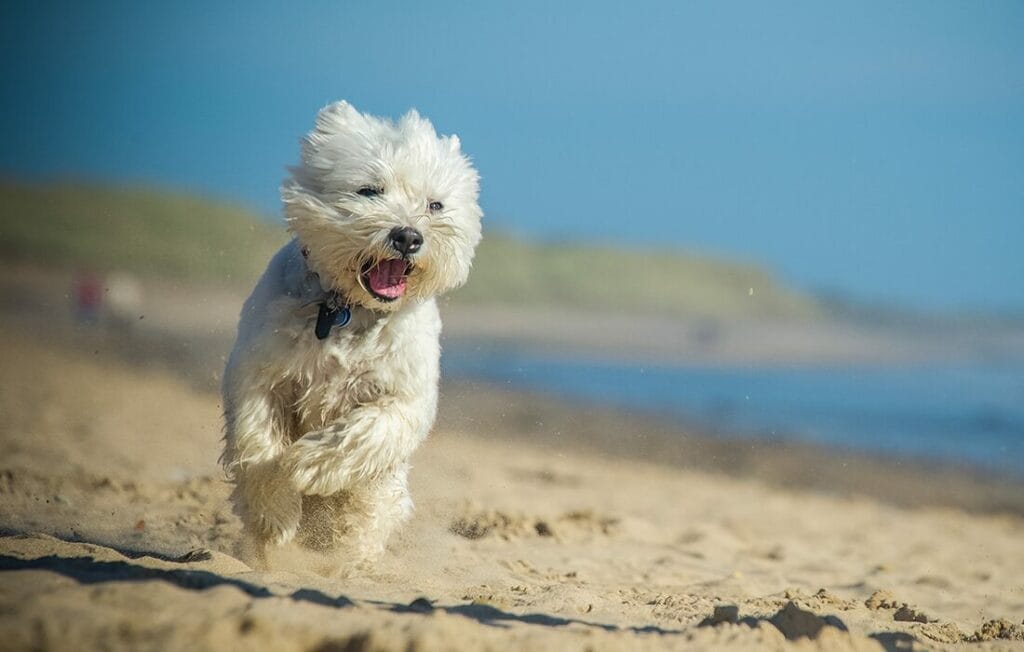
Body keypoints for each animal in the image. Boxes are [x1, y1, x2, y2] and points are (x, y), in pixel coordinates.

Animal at [221, 100, 483, 564]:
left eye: (435, 205)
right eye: (369, 190)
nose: (408, 237)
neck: (349, 309)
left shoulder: (405, 394)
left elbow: (369, 430)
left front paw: (307, 465)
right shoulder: (259, 373)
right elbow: (258, 441)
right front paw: (275, 514)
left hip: (386, 494)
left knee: (369, 511)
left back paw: (346, 557)